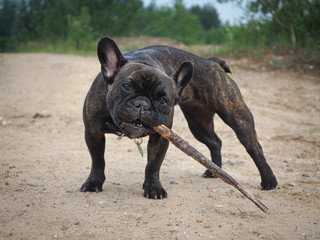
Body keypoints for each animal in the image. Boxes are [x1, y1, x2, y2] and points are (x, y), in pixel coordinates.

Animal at [80, 37, 278, 199]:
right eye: (127, 86)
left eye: (163, 100)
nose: (142, 104)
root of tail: (211, 62)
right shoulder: (93, 132)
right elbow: (98, 160)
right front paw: (94, 183)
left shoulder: (160, 137)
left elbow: (153, 164)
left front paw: (153, 188)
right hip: (198, 123)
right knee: (215, 142)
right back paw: (213, 171)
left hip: (237, 117)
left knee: (254, 148)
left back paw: (269, 180)